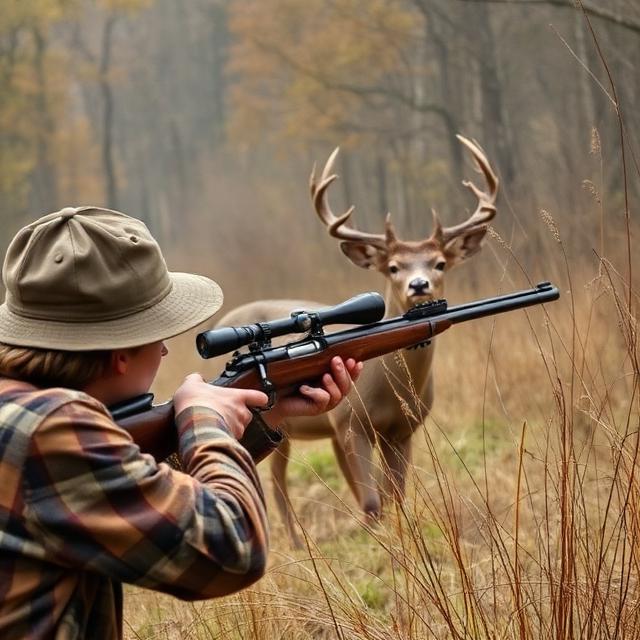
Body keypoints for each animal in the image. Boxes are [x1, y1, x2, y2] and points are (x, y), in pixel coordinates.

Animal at [213, 135, 498, 547]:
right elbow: (372, 500)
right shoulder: (351, 423)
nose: (419, 285)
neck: (388, 386)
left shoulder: (402, 429)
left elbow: (395, 495)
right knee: (276, 481)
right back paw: (294, 542)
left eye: (439, 263)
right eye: (393, 267)